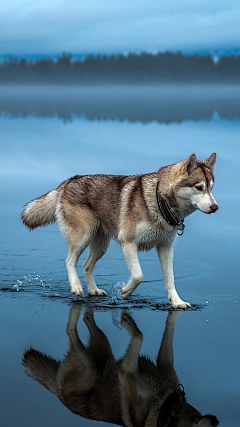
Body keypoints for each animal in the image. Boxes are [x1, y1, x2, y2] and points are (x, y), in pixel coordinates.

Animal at [22, 153, 218, 308]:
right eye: (199, 187)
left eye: (211, 187)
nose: (215, 207)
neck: (160, 202)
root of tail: (70, 180)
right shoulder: (128, 242)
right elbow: (138, 275)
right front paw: (125, 291)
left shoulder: (165, 248)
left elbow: (170, 279)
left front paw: (177, 302)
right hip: (83, 236)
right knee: (70, 260)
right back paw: (76, 287)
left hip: (101, 245)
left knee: (86, 266)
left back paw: (93, 290)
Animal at [23, 308, 219, 427]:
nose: (216, 420)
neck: (166, 407)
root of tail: (59, 395)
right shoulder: (127, 371)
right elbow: (139, 336)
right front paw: (128, 323)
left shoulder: (164, 364)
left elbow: (168, 329)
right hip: (90, 367)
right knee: (70, 330)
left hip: (102, 347)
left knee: (87, 319)